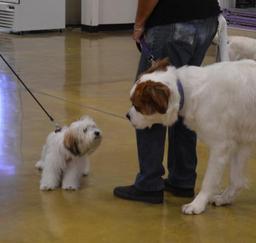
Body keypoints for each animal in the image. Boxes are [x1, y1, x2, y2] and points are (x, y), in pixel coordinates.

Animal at [128, 58, 256, 215]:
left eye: (137, 106)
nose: (127, 116)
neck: (187, 91)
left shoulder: (220, 146)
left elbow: (209, 181)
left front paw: (197, 205)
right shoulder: (242, 142)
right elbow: (235, 179)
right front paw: (225, 198)